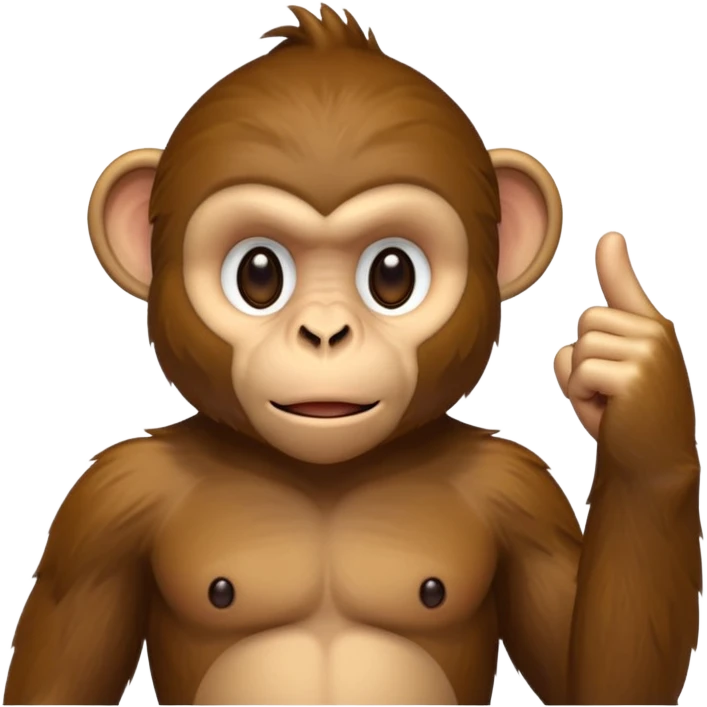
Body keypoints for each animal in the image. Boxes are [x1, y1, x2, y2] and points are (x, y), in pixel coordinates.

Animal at [3, 3, 702, 705]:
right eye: (259, 274)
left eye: (392, 274)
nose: (324, 332)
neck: (327, 475)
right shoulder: (107, 507)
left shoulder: (521, 494)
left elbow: (596, 683)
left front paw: (640, 403)